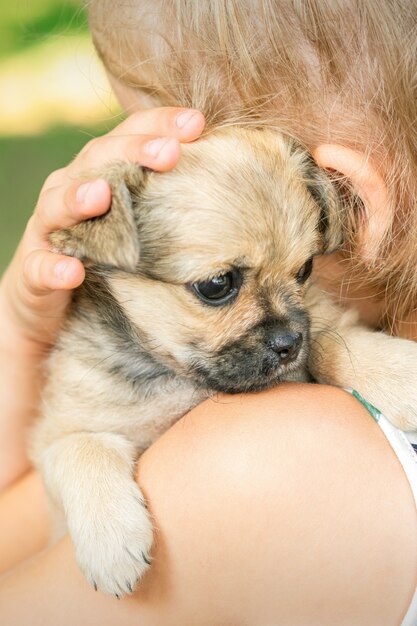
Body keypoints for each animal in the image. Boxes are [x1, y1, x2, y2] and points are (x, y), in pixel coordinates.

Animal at [30, 127, 416, 596]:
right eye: (217, 284)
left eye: (305, 269)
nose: (290, 343)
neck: (178, 376)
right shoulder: (56, 436)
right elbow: (82, 447)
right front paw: (110, 542)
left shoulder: (320, 323)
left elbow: (332, 341)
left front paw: (401, 374)